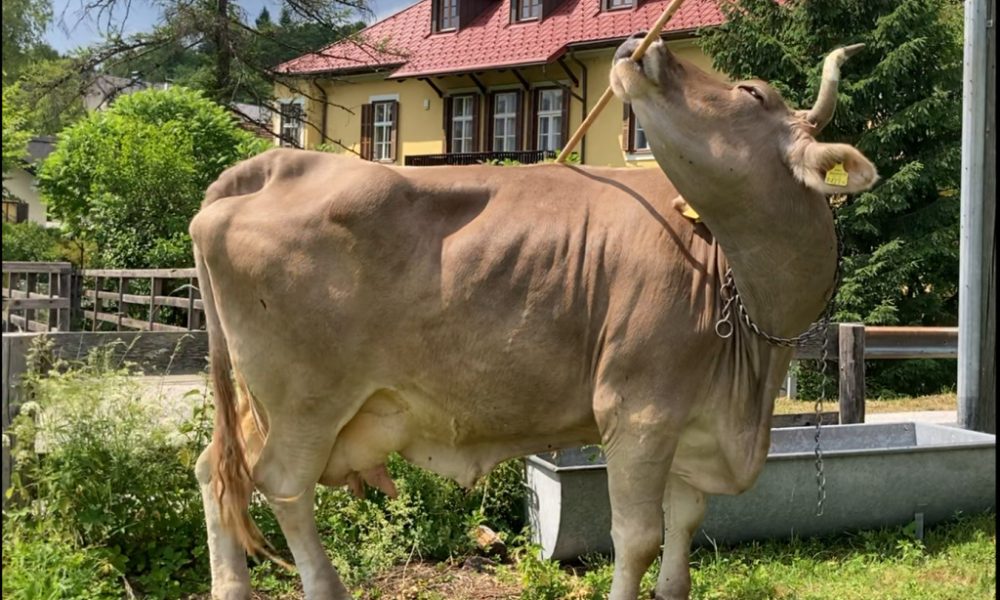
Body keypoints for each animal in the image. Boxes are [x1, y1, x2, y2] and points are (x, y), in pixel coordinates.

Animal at [190, 33, 878, 600]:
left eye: (749, 91)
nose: (643, 46)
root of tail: (273, 165)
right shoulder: (638, 411)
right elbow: (636, 540)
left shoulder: (696, 429)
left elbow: (682, 538)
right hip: (306, 400)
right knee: (282, 485)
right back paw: (325, 587)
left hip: (260, 400)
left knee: (218, 474)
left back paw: (231, 587)